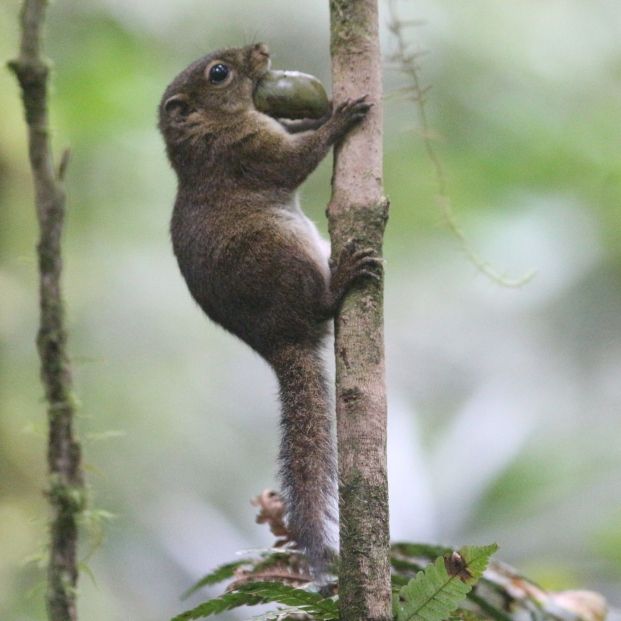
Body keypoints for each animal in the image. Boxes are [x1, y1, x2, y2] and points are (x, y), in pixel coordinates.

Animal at [157, 42, 378, 576]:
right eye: (218, 73)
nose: (261, 49)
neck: (209, 130)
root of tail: (277, 341)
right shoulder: (245, 151)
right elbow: (293, 161)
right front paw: (338, 120)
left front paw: (316, 114)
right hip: (282, 256)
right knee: (320, 305)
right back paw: (341, 280)